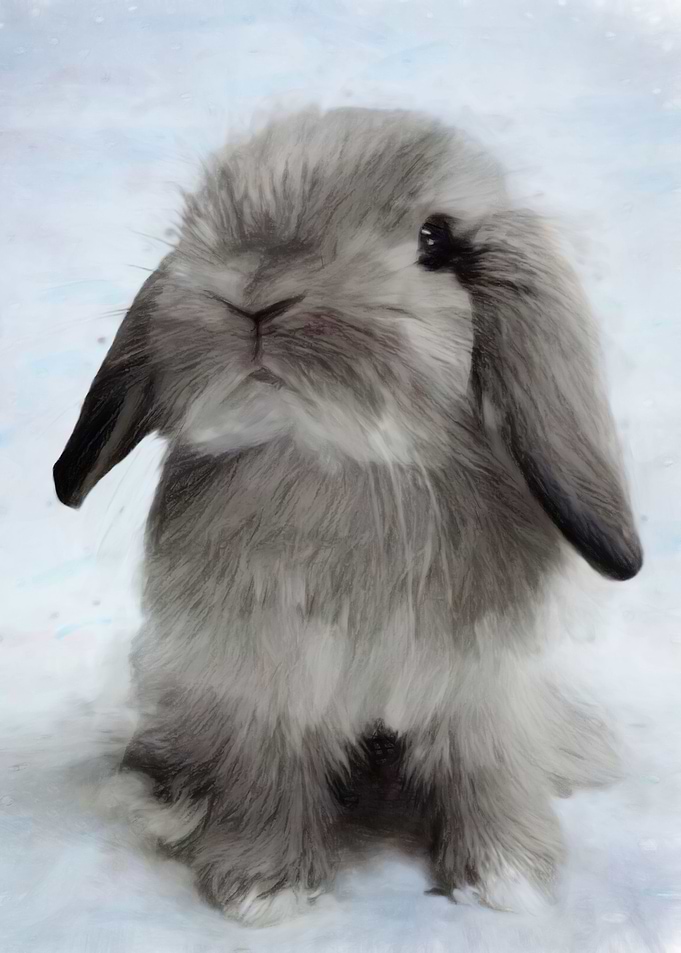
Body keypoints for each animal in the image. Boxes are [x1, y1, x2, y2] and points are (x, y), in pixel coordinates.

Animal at [53, 106, 642, 926]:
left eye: (436, 241)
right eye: (202, 220)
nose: (256, 293)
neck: (344, 468)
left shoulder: (483, 692)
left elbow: (487, 774)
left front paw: (506, 881)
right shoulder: (265, 688)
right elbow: (269, 782)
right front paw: (263, 890)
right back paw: (157, 799)